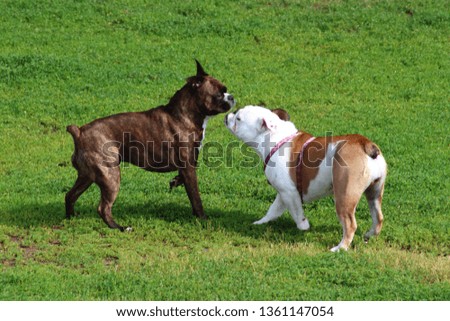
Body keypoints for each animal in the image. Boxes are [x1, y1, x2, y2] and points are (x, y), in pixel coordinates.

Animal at [67, 60, 236, 230]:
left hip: (87, 176)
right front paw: (202, 218)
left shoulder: (188, 164)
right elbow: (195, 196)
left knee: (70, 195)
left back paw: (70, 218)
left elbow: (183, 180)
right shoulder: (189, 167)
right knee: (103, 207)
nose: (232, 97)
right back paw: (120, 228)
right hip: (110, 176)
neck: (185, 115)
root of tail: (79, 132)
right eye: (219, 94)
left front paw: (175, 181)